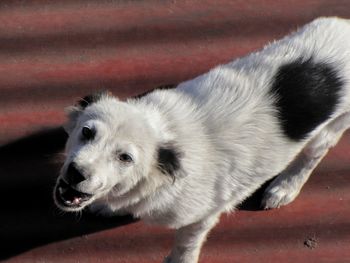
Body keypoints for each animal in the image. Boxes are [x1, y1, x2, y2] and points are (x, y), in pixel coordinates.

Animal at [53, 18, 350, 263]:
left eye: (125, 158)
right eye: (87, 132)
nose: (76, 172)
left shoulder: (202, 216)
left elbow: (186, 245)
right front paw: (107, 205)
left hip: (330, 128)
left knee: (312, 155)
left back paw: (285, 186)